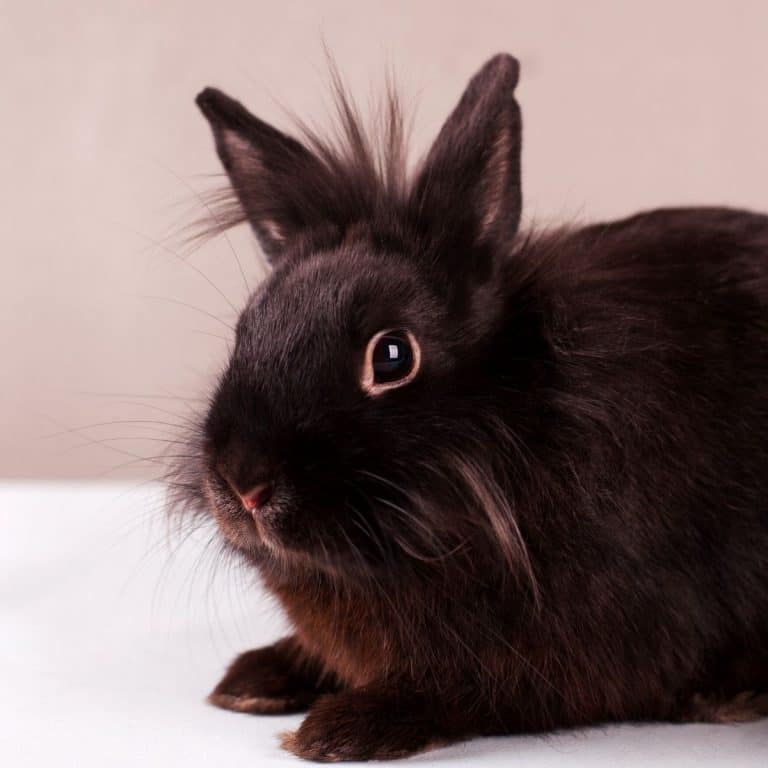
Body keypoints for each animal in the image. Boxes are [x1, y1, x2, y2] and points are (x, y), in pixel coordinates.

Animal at [168, 54, 768, 761]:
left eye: (392, 356)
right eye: (246, 328)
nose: (244, 485)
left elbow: (474, 691)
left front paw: (344, 728)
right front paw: (253, 679)